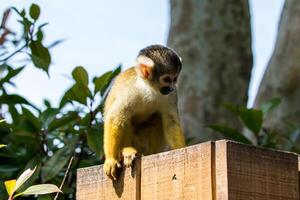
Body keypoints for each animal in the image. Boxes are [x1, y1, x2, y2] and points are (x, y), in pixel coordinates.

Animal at [103, 44, 185, 180]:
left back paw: (152, 153)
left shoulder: (172, 96)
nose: (172, 88)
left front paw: (182, 149)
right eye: (167, 79)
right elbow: (115, 118)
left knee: (157, 117)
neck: (149, 89)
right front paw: (111, 160)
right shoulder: (129, 91)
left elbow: (171, 122)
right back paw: (127, 151)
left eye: (174, 79)